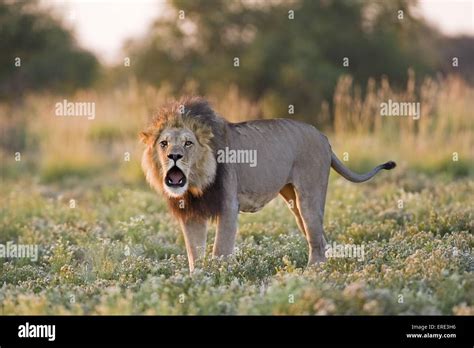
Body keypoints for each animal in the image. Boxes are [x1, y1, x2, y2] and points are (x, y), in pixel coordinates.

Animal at [141, 96, 396, 270]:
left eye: (188, 143)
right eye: (164, 143)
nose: (174, 156)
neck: (196, 183)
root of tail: (323, 137)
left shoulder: (228, 205)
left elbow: (220, 248)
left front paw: (219, 277)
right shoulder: (191, 213)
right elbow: (194, 253)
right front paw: (198, 280)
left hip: (309, 197)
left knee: (316, 238)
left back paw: (312, 274)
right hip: (293, 201)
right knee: (320, 238)